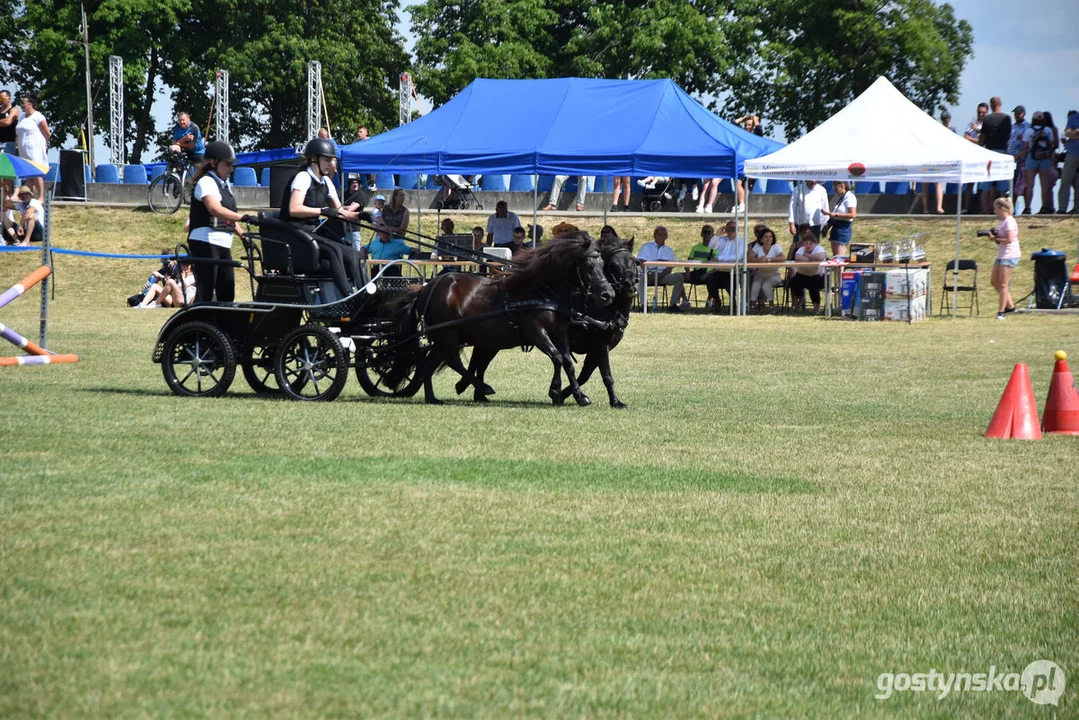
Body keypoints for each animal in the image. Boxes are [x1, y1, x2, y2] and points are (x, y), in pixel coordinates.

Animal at [384, 235, 612, 405]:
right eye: (589, 266)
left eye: (603, 264)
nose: (608, 294)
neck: (541, 290)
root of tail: (426, 288)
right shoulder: (536, 332)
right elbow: (557, 358)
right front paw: (555, 392)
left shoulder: (559, 333)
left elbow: (568, 362)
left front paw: (580, 396)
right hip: (448, 335)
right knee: (451, 361)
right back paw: (482, 388)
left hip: (447, 338)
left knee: (431, 363)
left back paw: (433, 397)